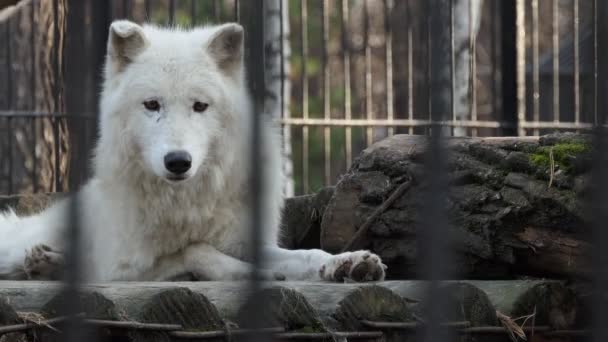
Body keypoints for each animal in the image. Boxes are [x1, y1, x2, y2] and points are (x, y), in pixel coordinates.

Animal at [0, 22, 388, 284]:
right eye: (152, 104)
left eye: (200, 106)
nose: (178, 161)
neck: (186, 203)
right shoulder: (123, 267)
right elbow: (195, 250)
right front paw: (248, 274)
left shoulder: (244, 240)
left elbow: (306, 254)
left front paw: (347, 262)